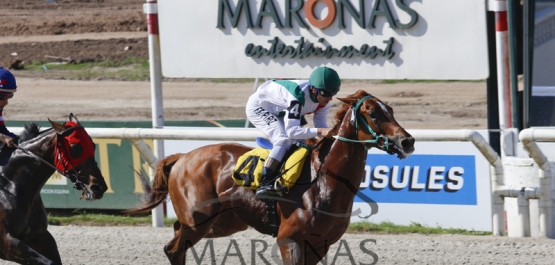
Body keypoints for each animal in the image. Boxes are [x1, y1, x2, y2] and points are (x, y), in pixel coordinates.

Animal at [0, 113, 108, 264]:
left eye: (92, 145)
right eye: (75, 148)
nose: (98, 187)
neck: (11, 185)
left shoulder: (40, 236)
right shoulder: (6, 243)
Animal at [128, 89, 414, 262]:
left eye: (391, 110)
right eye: (373, 113)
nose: (407, 141)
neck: (323, 183)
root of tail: (182, 158)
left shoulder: (321, 244)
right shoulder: (290, 240)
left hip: (220, 223)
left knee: (176, 242)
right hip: (198, 222)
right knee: (174, 249)